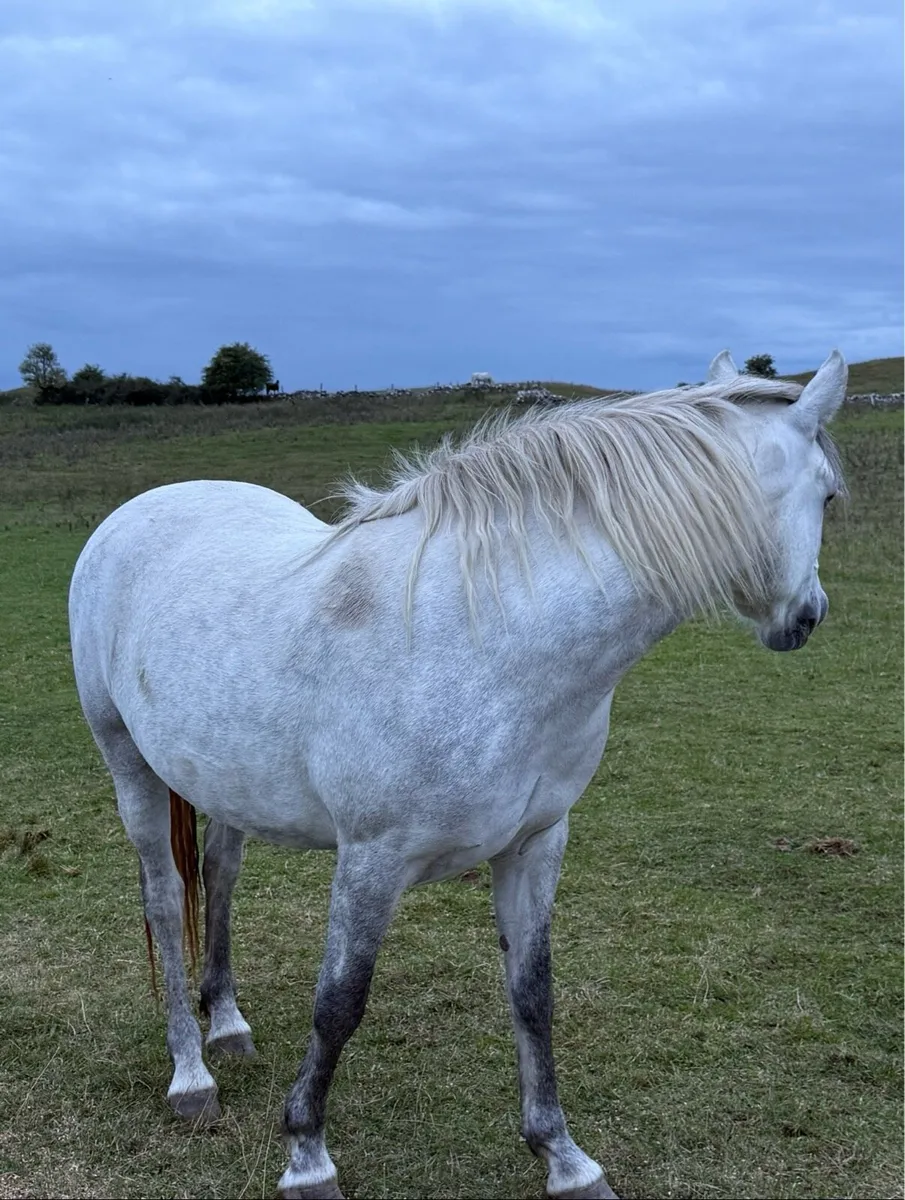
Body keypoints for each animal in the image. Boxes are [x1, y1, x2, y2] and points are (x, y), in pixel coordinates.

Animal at [68, 349, 848, 1200]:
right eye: (828, 496)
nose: (806, 616)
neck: (489, 639)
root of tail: (138, 510)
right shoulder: (371, 858)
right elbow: (338, 1004)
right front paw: (307, 1155)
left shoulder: (535, 843)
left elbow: (532, 995)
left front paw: (564, 1158)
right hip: (129, 762)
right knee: (164, 899)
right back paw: (191, 1075)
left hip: (225, 781)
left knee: (219, 873)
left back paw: (230, 1025)